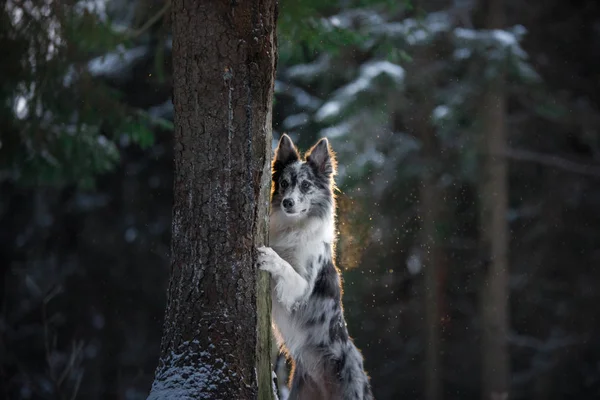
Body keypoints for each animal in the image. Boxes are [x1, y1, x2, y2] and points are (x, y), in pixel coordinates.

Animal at [256, 135, 372, 400]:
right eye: (284, 183)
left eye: (306, 185)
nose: (287, 202)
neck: (294, 227)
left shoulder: (302, 288)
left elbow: (287, 268)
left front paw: (271, 258)